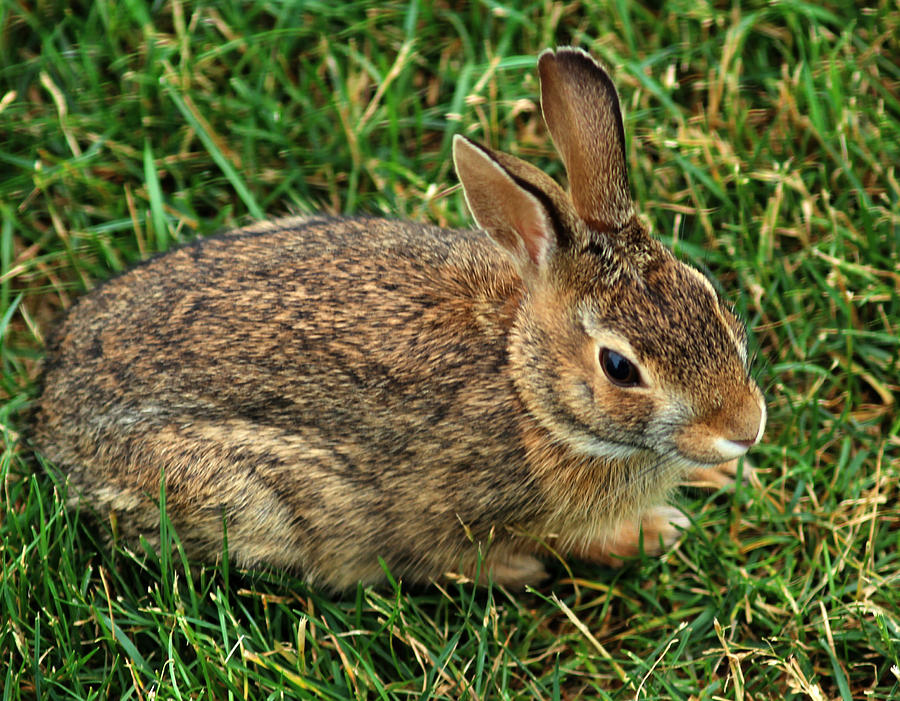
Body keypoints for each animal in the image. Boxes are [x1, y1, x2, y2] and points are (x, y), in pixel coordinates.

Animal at [29, 46, 768, 588]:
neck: (527, 387)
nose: (746, 428)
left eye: (709, 296)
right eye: (619, 366)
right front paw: (651, 532)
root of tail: (48, 413)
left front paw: (724, 477)